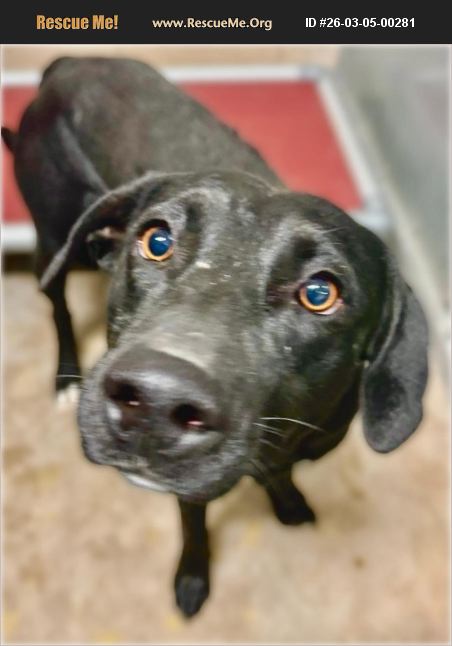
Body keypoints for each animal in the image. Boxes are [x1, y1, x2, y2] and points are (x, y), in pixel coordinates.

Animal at [2, 57, 428, 617]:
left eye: (320, 292)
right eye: (157, 240)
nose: (154, 401)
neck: (277, 435)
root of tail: (70, 62)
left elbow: (280, 476)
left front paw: (289, 503)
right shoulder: (192, 491)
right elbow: (194, 522)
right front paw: (192, 578)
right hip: (54, 242)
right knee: (58, 306)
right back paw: (65, 377)